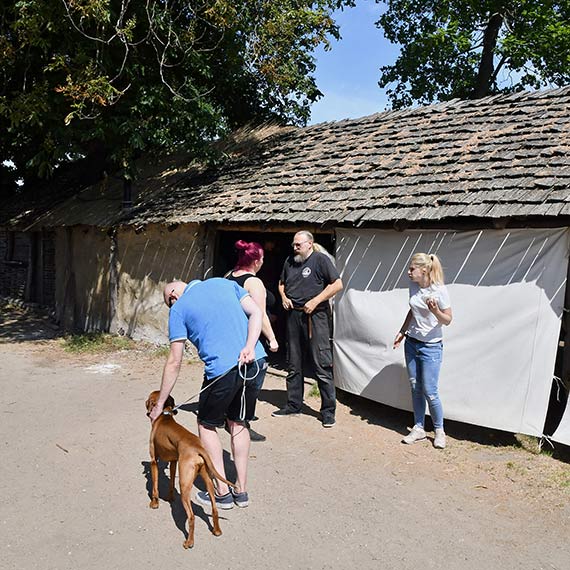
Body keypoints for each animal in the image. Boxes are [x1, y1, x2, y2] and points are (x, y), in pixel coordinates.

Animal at [146, 390, 235, 544]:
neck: (164, 415)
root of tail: (198, 447)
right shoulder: (174, 462)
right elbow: (170, 482)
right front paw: (170, 498)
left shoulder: (153, 461)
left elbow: (155, 486)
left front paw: (154, 503)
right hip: (207, 480)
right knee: (214, 509)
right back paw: (217, 531)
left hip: (185, 486)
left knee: (191, 517)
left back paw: (189, 542)